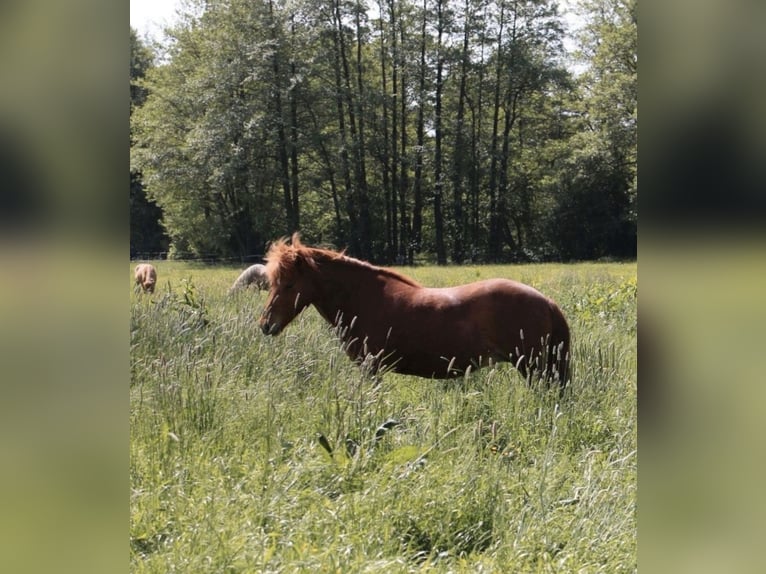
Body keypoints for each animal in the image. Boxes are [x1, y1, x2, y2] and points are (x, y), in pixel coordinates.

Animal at [259, 234, 570, 387]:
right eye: (272, 282)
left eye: (288, 284)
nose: (266, 324)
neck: (362, 297)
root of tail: (547, 302)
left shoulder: (371, 366)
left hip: (533, 366)